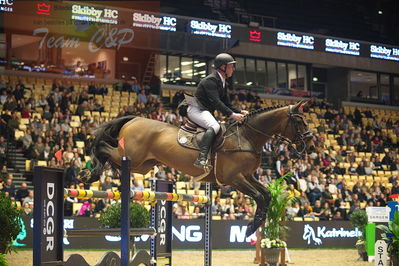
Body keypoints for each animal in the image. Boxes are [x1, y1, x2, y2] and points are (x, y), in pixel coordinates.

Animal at [83, 100, 316, 237]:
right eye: (300, 121)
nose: (311, 145)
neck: (247, 137)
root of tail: (134, 118)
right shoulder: (234, 178)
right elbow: (259, 196)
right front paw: (250, 228)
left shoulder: (247, 176)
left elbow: (266, 194)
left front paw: (255, 225)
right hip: (133, 155)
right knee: (103, 147)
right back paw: (91, 173)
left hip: (142, 164)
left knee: (113, 157)